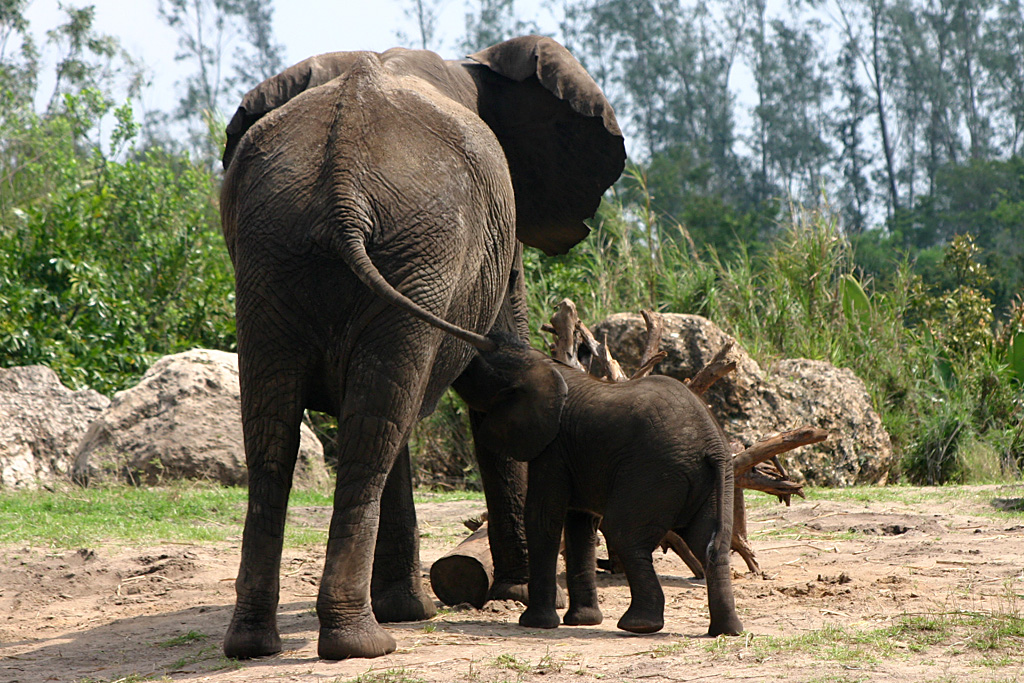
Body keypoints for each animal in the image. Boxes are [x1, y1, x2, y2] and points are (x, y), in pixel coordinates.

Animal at [218, 36, 625, 660]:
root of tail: (341, 182)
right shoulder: (495, 241)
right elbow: (496, 385)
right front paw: (514, 593)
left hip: (278, 255)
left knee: (289, 430)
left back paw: (257, 644)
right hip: (414, 246)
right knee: (371, 432)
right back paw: (363, 643)